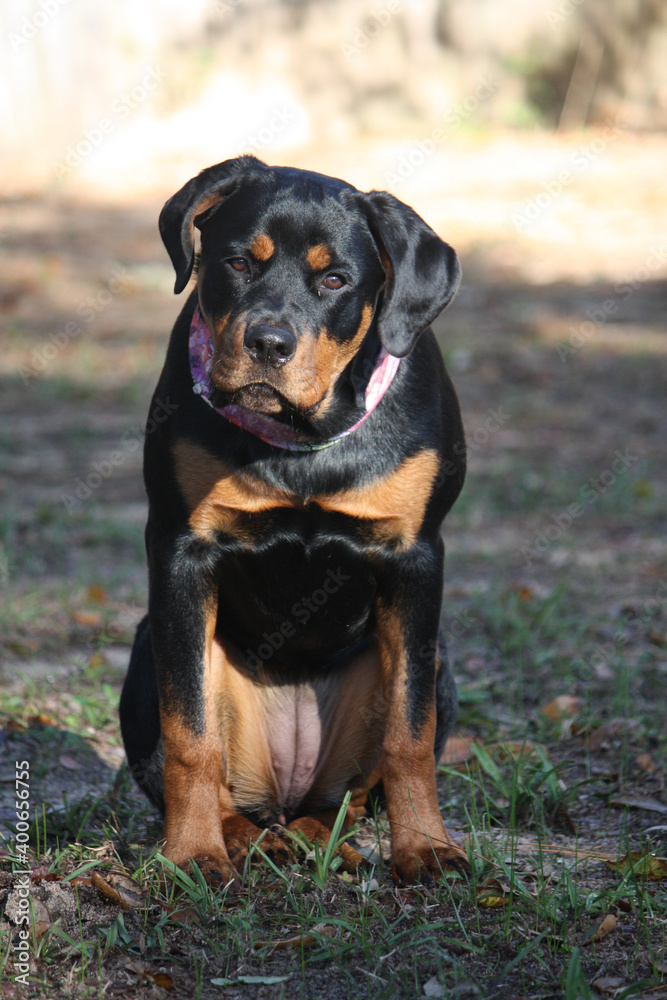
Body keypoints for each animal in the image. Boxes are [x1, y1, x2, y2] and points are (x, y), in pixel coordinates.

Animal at [120, 156, 468, 884]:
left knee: (349, 797)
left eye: (334, 279)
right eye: (236, 263)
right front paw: (191, 853)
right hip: (145, 649)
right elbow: (189, 731)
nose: (268, 343)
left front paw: (426, 848)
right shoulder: (180, 551)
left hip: (440, 659)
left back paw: (321, 837)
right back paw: (248, 839)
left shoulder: (416, 558)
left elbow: (410, 732)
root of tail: (289, 790)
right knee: (214, 773)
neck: (304, 435)